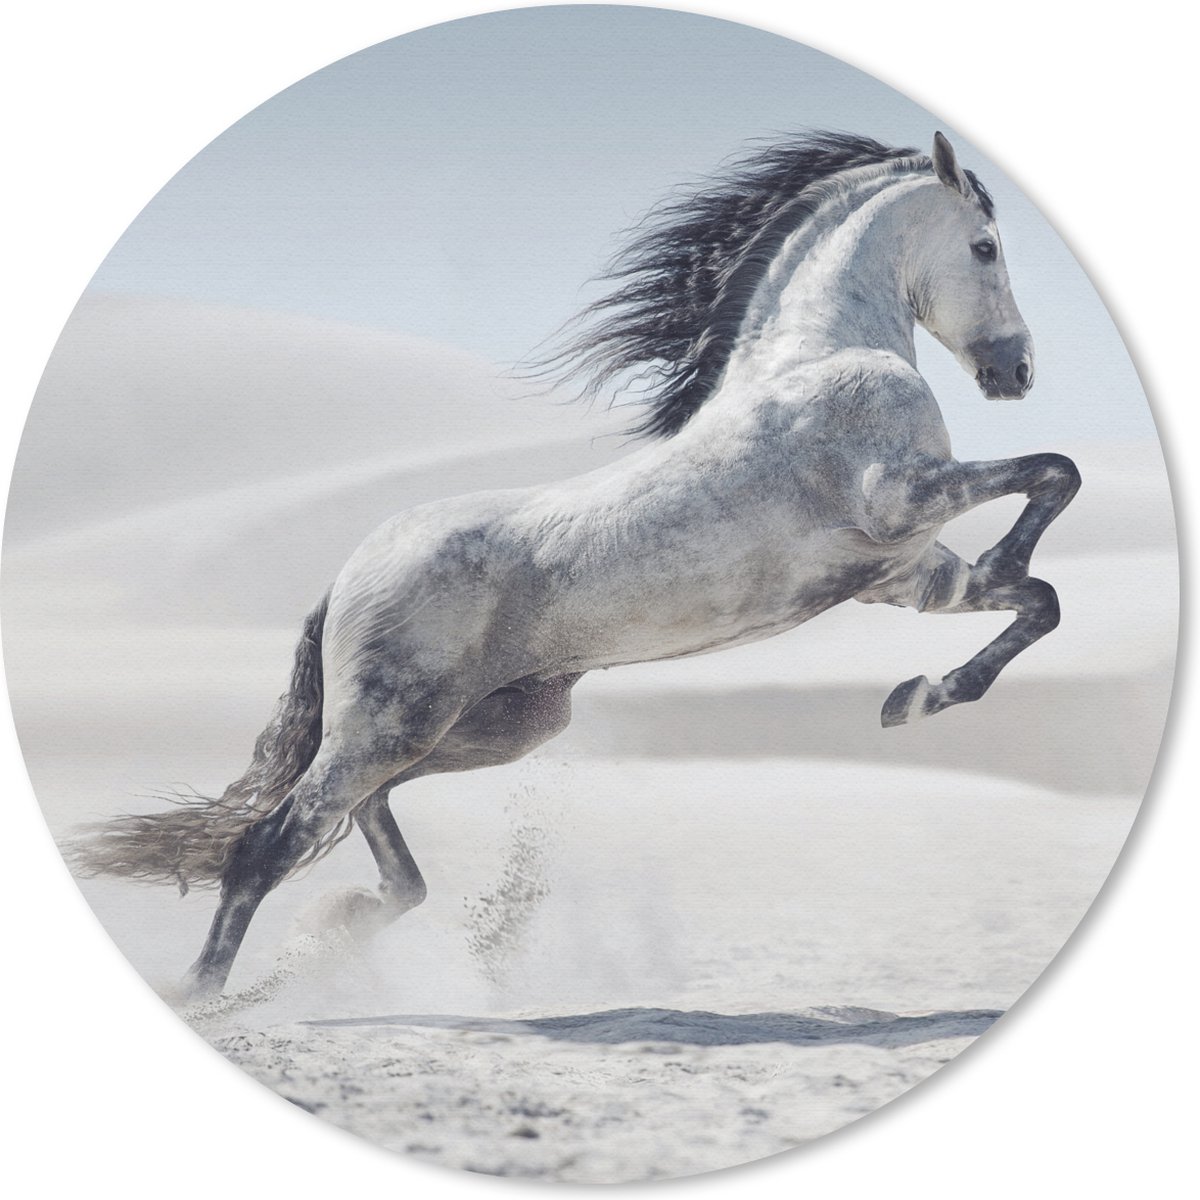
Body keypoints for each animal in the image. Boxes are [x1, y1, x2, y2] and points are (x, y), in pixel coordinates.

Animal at [73, 131, 1080, 1000]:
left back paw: (344, 925)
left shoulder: (904, 575)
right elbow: (1053, 475)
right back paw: (210, 992)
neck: (820, 356)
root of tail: (349, 572)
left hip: (487, 728)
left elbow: (1039, 599)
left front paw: (918, 697)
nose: (1018, 372)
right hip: (395, 724)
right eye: (986, 246)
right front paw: (949, 647)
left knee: (360, 820)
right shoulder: (899, 500)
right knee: (271, 841)